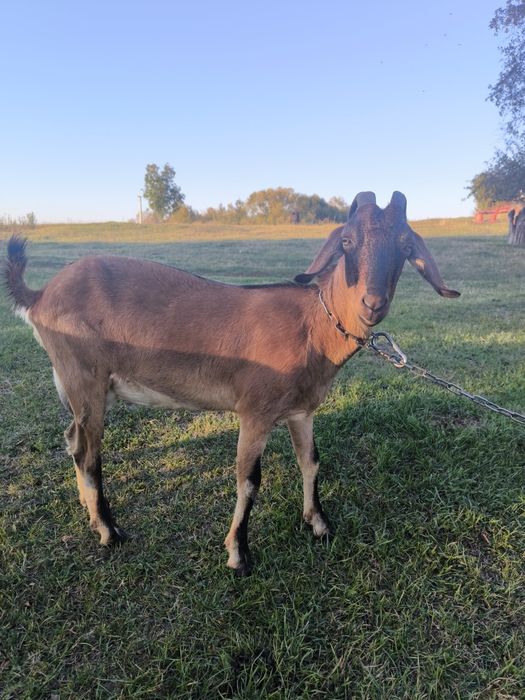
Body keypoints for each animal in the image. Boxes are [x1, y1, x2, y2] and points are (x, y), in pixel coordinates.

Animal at [4, 191, 459, 575]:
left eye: (405, 248)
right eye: (346, 241)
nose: (371, 304)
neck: (312, 326)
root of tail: (40, 295)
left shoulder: (301, 411)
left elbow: (311, 461)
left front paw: (319, 524)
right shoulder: (255, 411)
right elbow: (249, 479)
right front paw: (238, 553)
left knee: (72, 440)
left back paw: (90, 512)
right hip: (84, 377)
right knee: (88, 453)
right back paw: (108, 531)